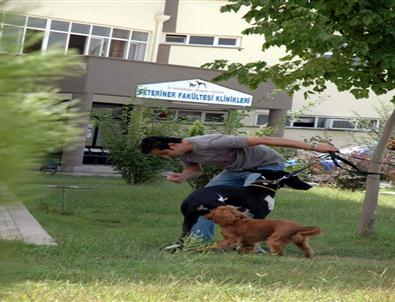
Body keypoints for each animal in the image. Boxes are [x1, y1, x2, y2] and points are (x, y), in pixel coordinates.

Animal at [175, 170, 310, 245]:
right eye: (295, 178)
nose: (309, 186)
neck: (263, 188)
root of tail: (191, 200)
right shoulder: (260, 216)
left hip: (189, 221)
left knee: (181, 238)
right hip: (222, 206)